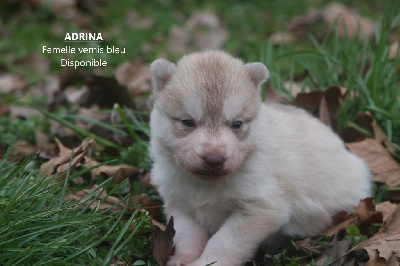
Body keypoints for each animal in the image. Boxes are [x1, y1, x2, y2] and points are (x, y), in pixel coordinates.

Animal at [148, 51, 370, 264]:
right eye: (188, 122)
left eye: (237, 124)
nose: (214, 159)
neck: (207, 186)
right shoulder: (179, 204)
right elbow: (188, 236)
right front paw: (183, 259)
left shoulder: (262, 208)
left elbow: (225, 241)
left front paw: (208, 262)